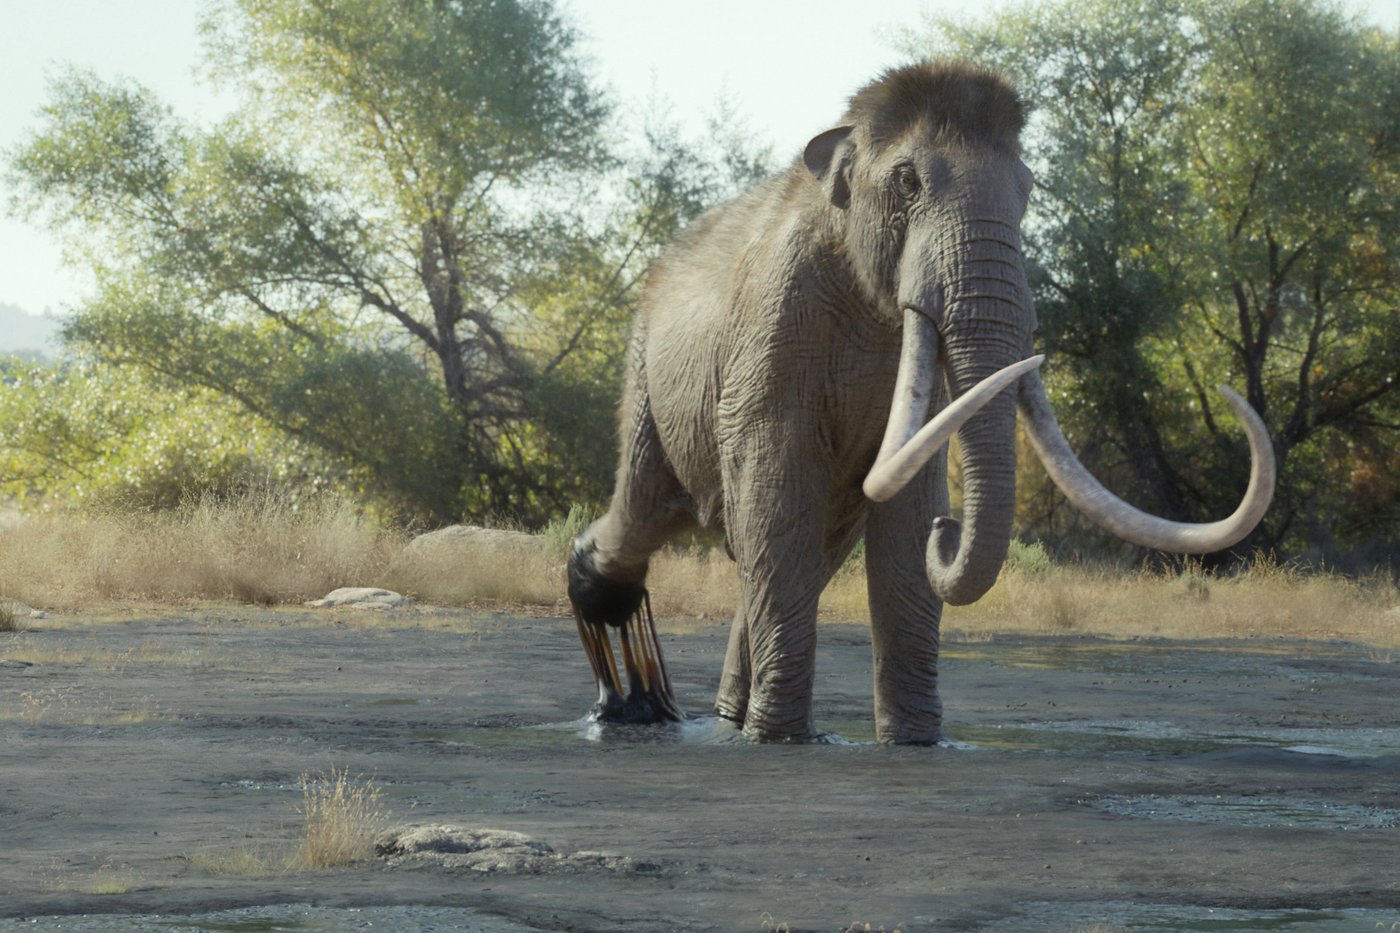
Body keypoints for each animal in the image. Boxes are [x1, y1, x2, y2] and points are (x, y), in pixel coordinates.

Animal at [566, 60, 1274, 744]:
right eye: (907, 181)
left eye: (1028, 190)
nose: (950, 530)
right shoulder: (770, 333)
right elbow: (777, 502)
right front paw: (782, 741)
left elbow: (902, 519)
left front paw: (915, 743)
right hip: (644, 371)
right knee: (655, 507)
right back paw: (631, 675)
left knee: (799, 546)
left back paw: (717, 717)